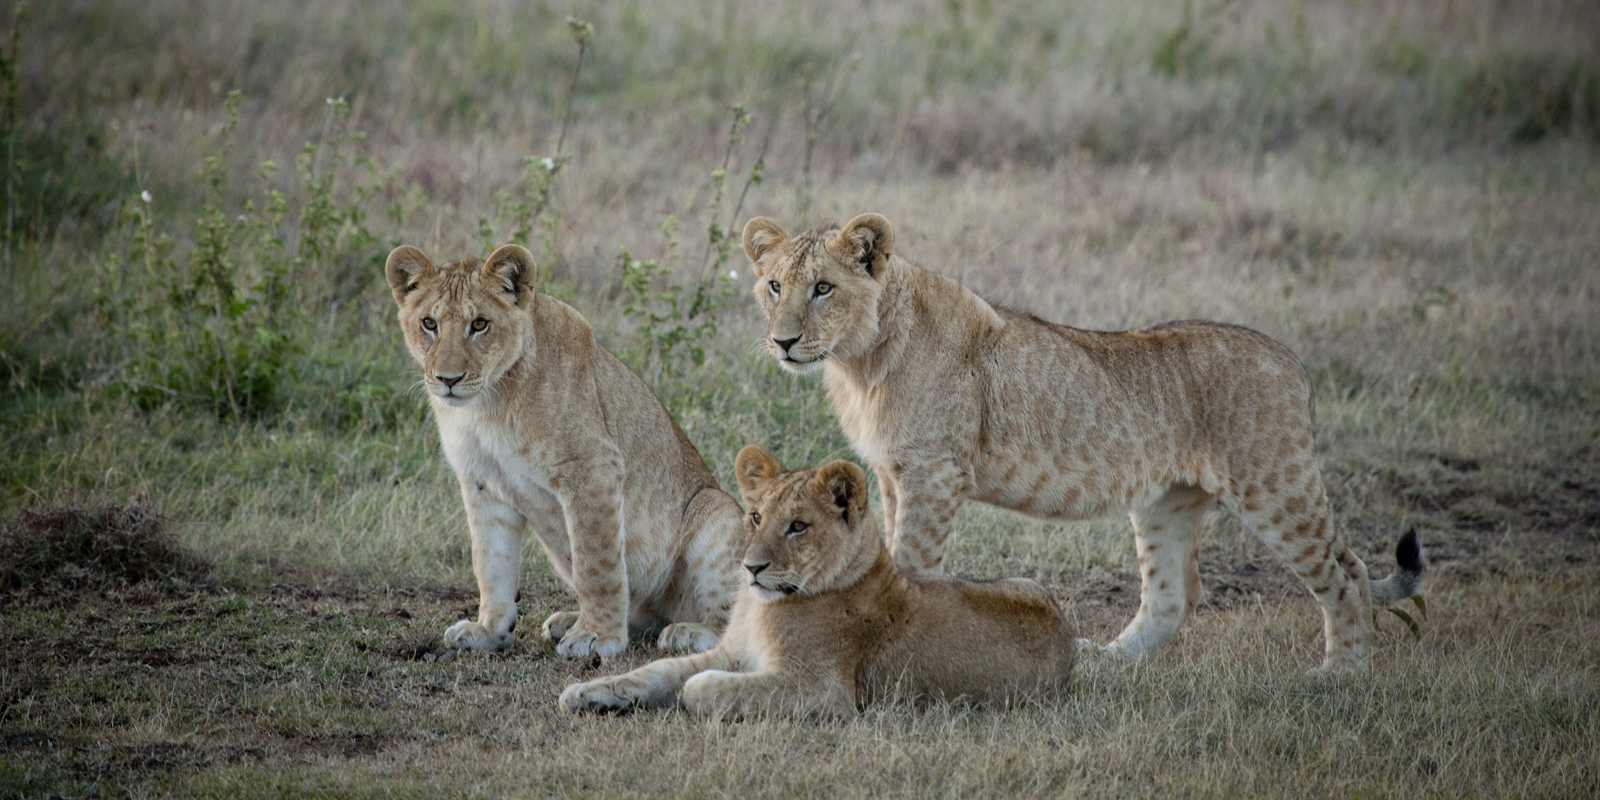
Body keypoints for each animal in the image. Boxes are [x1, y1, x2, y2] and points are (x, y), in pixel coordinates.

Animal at [384, 244, 744, 659]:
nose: (448, 379)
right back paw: (569, 621)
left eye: (479, 324)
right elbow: (490, 562)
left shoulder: (592, 469)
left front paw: (597, 637)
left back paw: (686, 632)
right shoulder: (482, 483)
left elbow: (597, 565)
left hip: (715, 509)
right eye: (429, 324)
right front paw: (489, 629)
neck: (487, 405)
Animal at [558, 446, 1077, 718]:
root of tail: (1068, 635)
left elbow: (706, 686)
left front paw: (693, 691)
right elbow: (658, 671)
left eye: (798, 527)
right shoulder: (733, 650)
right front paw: (588, 691)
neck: (763, 606)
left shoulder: (821, 690)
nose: (750, 568)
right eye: (756, 517)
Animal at [738, 213, 1425, 672]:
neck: (859, 361)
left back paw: (1342, 674)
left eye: (823, 288)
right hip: (1168, 501)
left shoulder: (933, 472)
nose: (783, 341)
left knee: (1348, 572)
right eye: (774, 286)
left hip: (1275, 486)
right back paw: (1104, 661)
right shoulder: (889, 472)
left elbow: (910, 564)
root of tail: (1292, 361)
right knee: (1172, 597)